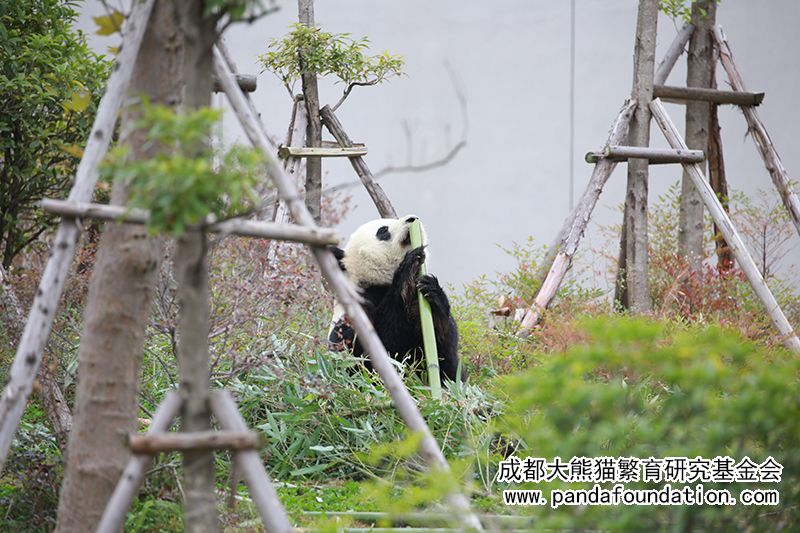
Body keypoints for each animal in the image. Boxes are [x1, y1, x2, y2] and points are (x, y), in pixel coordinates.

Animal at [328, 215, 463, 382]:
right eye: (383, 230)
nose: (412, 218)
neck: (377, 283)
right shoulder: (356, 311)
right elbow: (382, 348)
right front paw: (410, 262)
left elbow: (445, 352)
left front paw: (433, 291)